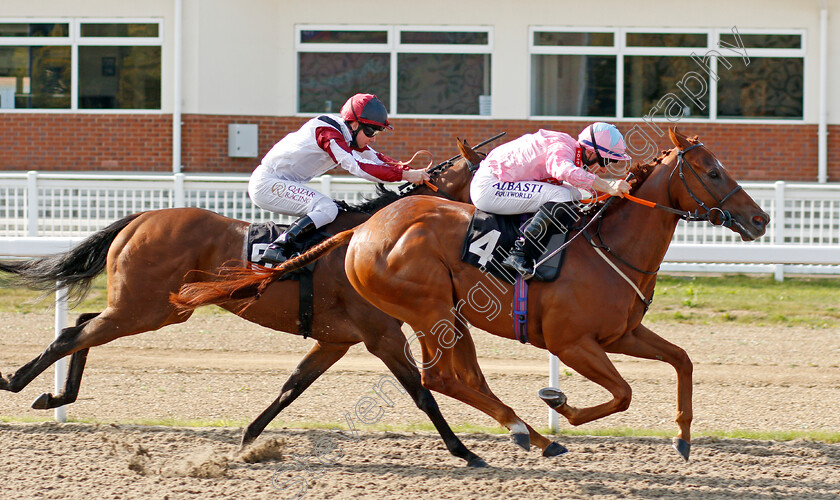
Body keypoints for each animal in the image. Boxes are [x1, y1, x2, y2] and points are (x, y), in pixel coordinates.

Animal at [0, 142, 532, 468]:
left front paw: (248, 439)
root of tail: (140, 218)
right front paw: (465, 451)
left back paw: (54, 395)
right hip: (145, 309)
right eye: (495, 174)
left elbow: (289, 389)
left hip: (155, 307)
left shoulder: (335, 340)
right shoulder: (381, 335)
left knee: (84, 325)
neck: (377, 239)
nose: (526, 226)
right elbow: (422, 394)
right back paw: (21, 383)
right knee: (72, 334)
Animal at [174, 129, 772, 460]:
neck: (609, 246)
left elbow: (682, 359)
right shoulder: (574, 342)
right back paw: (528, 432)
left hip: (443, 316)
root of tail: (362, 231)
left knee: (454, 378)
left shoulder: (622, 333)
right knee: (440, 378)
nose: (760, 220)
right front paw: (557, 404)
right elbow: (622, 393)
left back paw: (525, 434)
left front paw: (684, 438)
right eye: (712, 172)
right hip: (429, 308)